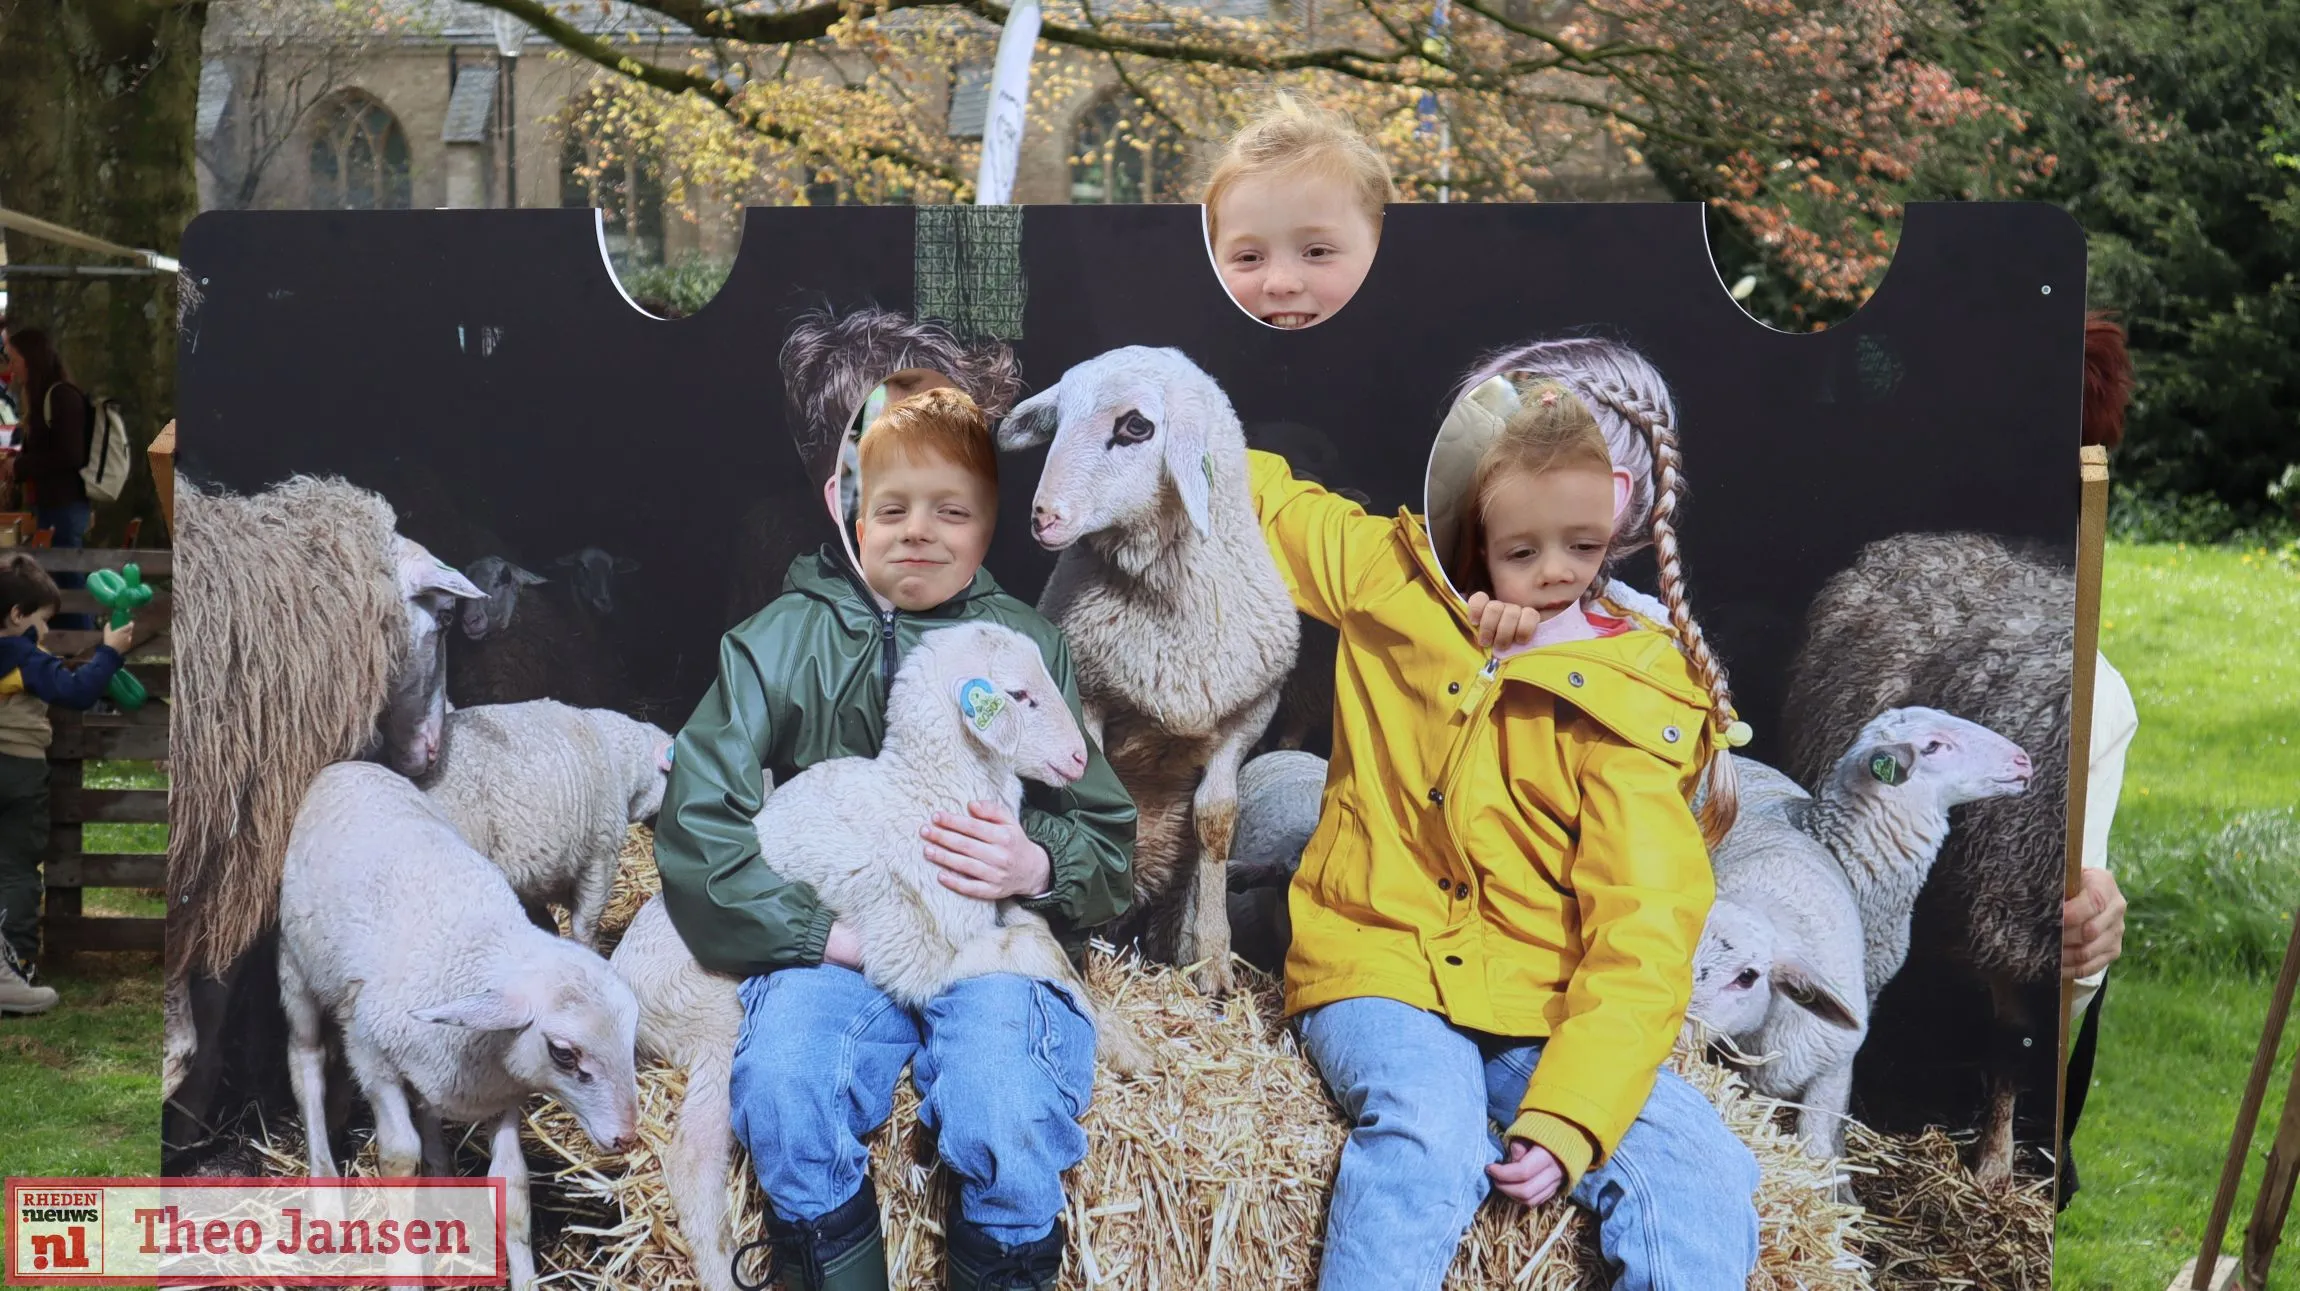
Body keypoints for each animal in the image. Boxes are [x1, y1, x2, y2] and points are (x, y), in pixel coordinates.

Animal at [279, 759, 644, 1279]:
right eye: (564, 1053)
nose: (625, 1136)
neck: (481, 955)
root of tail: (349, 766)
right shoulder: (372, 1060)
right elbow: (399, 1158)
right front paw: (405, 1274)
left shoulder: (501, 1091)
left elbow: (512, 1188)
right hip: (296, 966)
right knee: (306, 1060)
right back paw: (326, 1191)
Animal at [998, 345, 1306, 998]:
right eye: (1057, 421)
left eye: (1135, 427)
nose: (1043, 518)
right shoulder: (1085, 699)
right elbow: (1095, 807)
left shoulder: (1249, 714)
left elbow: (1216, 822)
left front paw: (1210, 958)